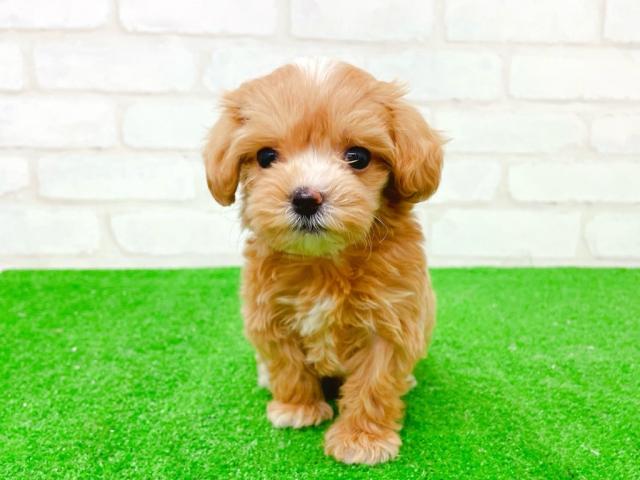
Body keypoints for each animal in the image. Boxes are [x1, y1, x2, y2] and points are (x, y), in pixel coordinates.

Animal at [203, 59, 443, 465]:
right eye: (266, 157)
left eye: (358, 156)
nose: (306, 198)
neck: (325, 262)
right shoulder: (270, 314)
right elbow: (287, 365)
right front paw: (297, 408)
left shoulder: (392, 318)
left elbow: (374, 382)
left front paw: (362, 439)